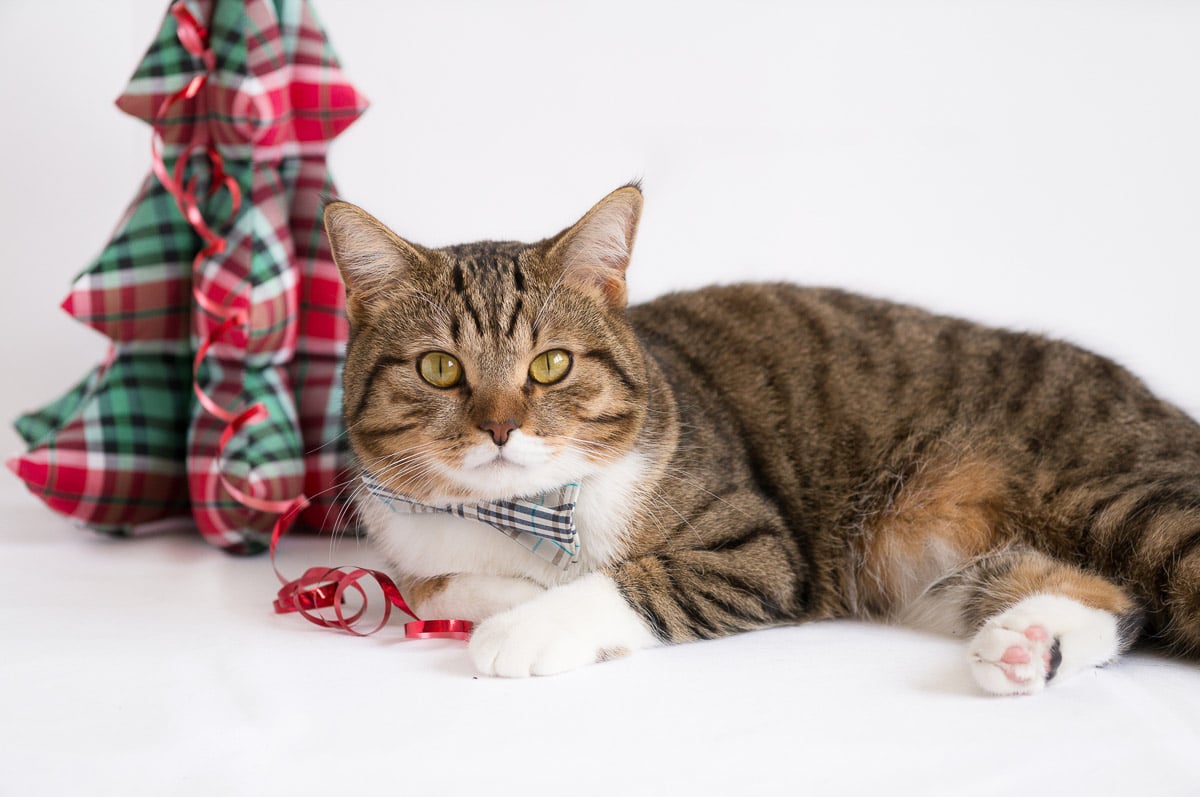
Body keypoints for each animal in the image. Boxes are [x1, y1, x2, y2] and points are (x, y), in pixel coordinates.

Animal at [321, 182, 1200, 691]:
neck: (530, 510)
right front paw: (508, 592)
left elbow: (635, 578)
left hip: (1119, 498)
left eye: (551, 364)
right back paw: (1027, 643)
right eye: (439, 368)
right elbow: (434, 584)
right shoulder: (407, 536)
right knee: (1113, 598)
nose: (501, 425)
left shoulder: (759, 547)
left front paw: (528, 621)